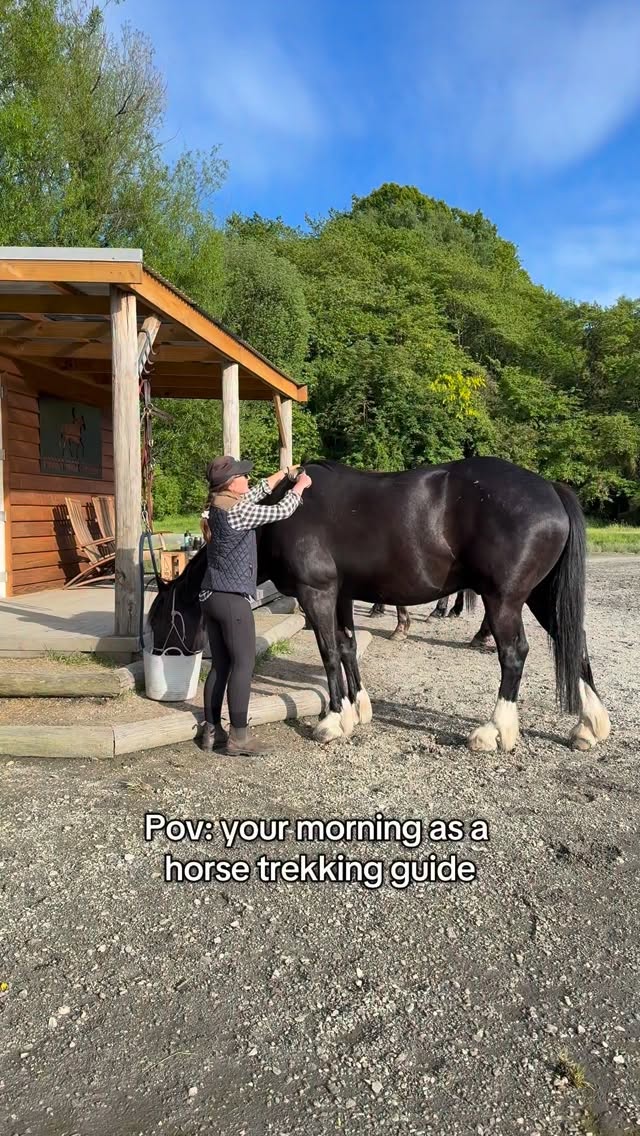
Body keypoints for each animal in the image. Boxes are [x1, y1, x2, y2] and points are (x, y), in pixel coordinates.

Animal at [146, 457, 610, 754]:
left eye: (158, 618)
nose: (165, 661)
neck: (278, 521)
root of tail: (549, 488)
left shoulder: (317, 593)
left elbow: (328, 652)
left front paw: (332, 722)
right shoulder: (341, 595)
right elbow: (347, 646)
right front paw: (357, 710)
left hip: (505, 600)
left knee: (514, 655)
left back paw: (494, 732)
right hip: (541, 597)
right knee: (576, 643)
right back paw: (589, 727)